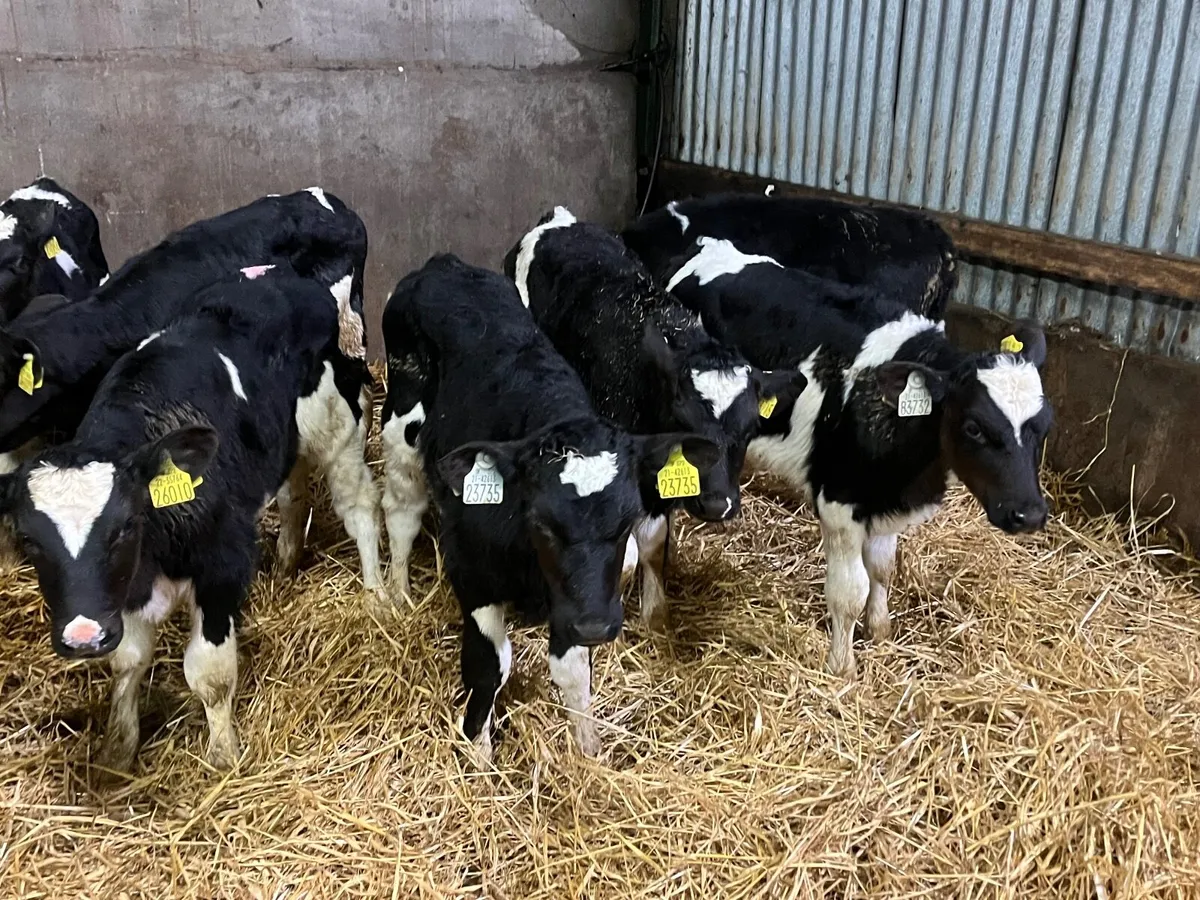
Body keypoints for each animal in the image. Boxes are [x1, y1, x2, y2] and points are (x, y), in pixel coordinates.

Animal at [0, 274, 341, 772]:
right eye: (28, 540)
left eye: (124, 526)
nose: (82, 638)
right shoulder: (117, 599)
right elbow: (127, 662)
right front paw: (117, 752)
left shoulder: (222, 568)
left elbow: (209, 674)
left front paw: (223, 755)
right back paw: (287, 560)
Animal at [379, 254, 719, 761]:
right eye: (542, 523)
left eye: (625, 522)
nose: (597, 625)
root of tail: (443, 264)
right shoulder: (472, 575)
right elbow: (490, 666)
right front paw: (479, 754)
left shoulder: (575, 599)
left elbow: (574, 671)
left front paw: (588, 751)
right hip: (402, 424)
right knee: (401, 509)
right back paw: (398, 590)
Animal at [502, 208, 806, 631]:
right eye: (683, 421)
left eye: (749, 429)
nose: (716, 505)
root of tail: (558, 218)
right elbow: (625, 555)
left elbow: (654, 542)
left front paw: (655, 614)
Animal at [665, 237, 1051, 678]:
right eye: (973, 427)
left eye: (1045, 423)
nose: (1029, 515)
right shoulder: (840, 501)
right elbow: (849, 591)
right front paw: (842, 666)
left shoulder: (887, 499)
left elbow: (882, 569)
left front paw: (879, 630)